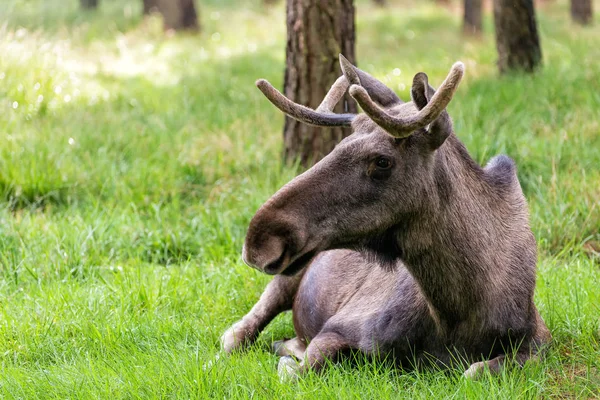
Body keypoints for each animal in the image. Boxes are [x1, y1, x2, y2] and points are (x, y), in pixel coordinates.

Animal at [219, 55, 548, 378]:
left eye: (382, 161)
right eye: (338, 146)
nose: (260, 240)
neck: (458, 313)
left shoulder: (538, 340)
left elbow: (476, 371)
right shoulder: (337, 327)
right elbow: (299, 369)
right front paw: (290, 356)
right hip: (286, 282)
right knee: (235, 336)